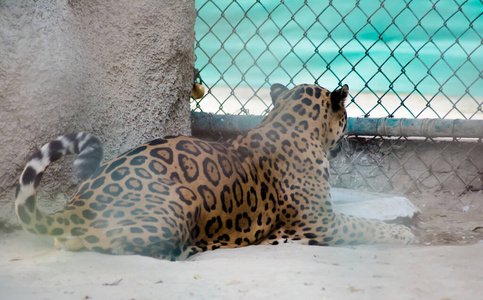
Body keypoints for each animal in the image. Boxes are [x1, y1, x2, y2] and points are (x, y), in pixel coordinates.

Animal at [15, 82, 416, 260]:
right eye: (346, 116)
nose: (345, 142)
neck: (289, 122)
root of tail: (77, 206)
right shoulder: (323, 222)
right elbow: (366, 226)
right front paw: (403, 234)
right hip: (173, 210)